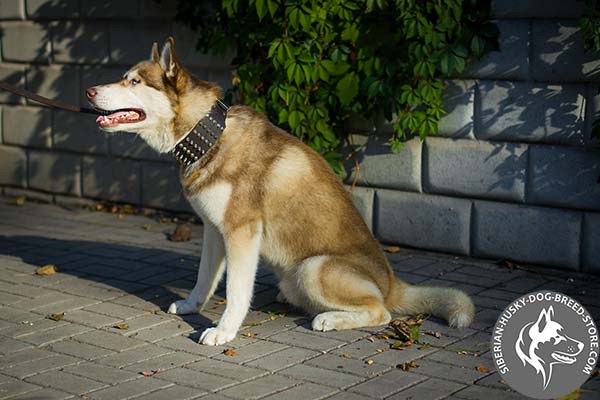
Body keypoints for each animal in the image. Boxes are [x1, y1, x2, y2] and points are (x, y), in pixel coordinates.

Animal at [86, 36, 476, 344]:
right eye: (123, 78)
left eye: (133, 81)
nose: (89, 90)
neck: (209, 135)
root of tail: (393, 282)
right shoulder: (214, 229)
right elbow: (204, 278)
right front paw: (191, 306)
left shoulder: (242, 233)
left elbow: (236, 291)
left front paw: (224, 332)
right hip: (295, 278)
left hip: (314, 269)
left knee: (382, 312)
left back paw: (330, 318)